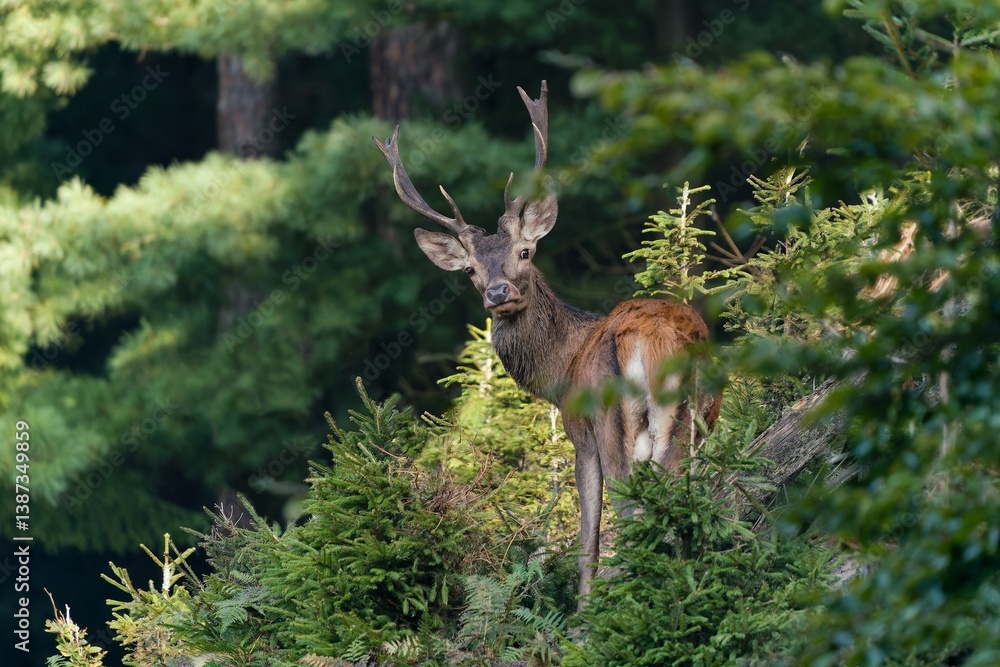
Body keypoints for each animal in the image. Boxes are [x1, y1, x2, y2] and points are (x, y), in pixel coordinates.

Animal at [373, 81, 720, 609]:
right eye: (470, 270)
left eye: (525, 251)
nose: (498, 293)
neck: (561, 369)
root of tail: (656, 341)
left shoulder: (581, 435)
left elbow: (587, 536)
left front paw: (582, 605)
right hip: (696, 420)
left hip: (616, 424)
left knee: (632, 512)